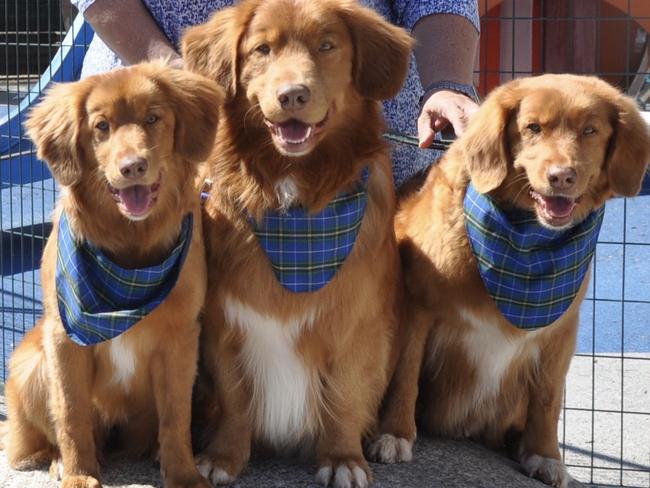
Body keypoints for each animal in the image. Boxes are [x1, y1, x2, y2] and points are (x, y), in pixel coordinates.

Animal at [1, 62, 221, 488]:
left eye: (153, 118)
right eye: (101, 126)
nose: (132, 167)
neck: (131, 249)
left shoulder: (182, 336)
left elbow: (176, 417)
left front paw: (183, 474)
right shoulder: (64, 338)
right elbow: (71, 414)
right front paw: (78, 475)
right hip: (30, 362)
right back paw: (59, 461)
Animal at [180, 0, 410, 486]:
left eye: (327, 46)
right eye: (262, 49)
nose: (292, 96)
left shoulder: (358, 326)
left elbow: (344, 396)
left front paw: (341, 458)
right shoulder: (225, 323)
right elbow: (234, 398)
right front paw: (224, 456)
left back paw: (392, 435)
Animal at [368, 73, 648, 488]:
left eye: (590, 130)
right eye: (532, 128)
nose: (561, 176)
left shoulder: (560, 331)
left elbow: (547, 399)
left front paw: (545, 454)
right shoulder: (417, 308)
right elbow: (405, 377)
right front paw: (394, 434)